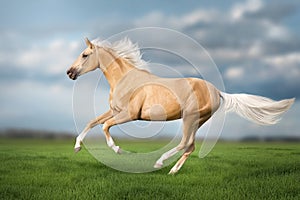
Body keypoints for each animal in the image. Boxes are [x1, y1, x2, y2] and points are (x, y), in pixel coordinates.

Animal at [67, 37, 294, 173]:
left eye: (85, 55)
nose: (69, 72)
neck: (126, 79)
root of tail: (217, 91)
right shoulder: (114, 111)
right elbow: (92, 122)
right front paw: (77, 147)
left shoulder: (129, 114)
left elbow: (105, 127)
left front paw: (118, 150)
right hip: (198, 121)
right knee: (190, 145)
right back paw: (173, 171)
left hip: (190, 118)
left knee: (185, 143)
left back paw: (160, 162)